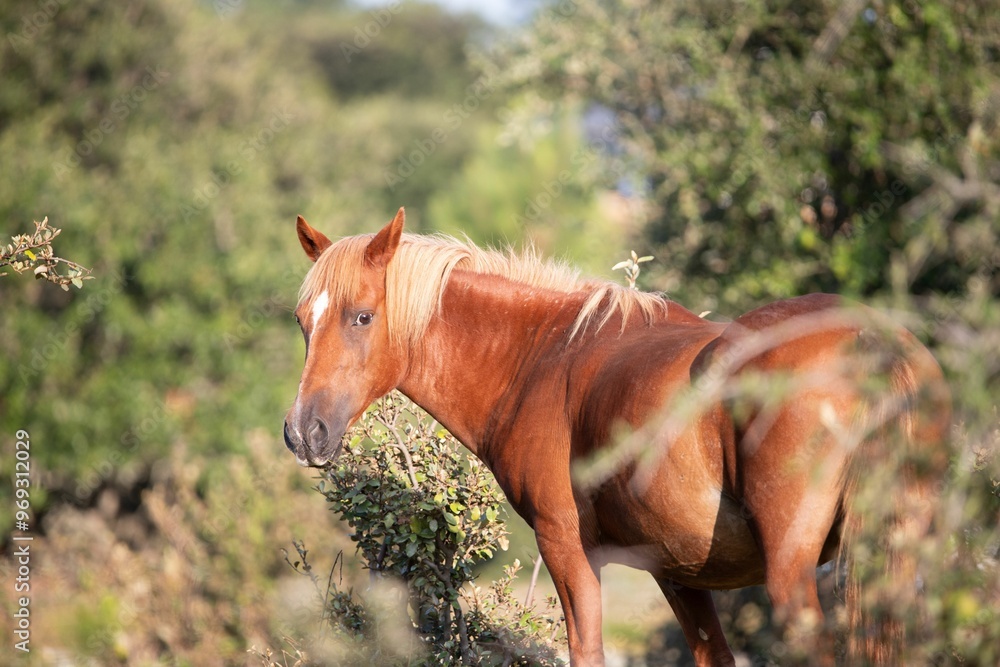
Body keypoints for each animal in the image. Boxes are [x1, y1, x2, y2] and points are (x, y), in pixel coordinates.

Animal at [284, 209, 952, 667]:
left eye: (362, 316)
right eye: (302, 320)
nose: (303, 432)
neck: (540, 357)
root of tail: (870, 341)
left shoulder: (568, 549)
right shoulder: (680, 574)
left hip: (793, 576)